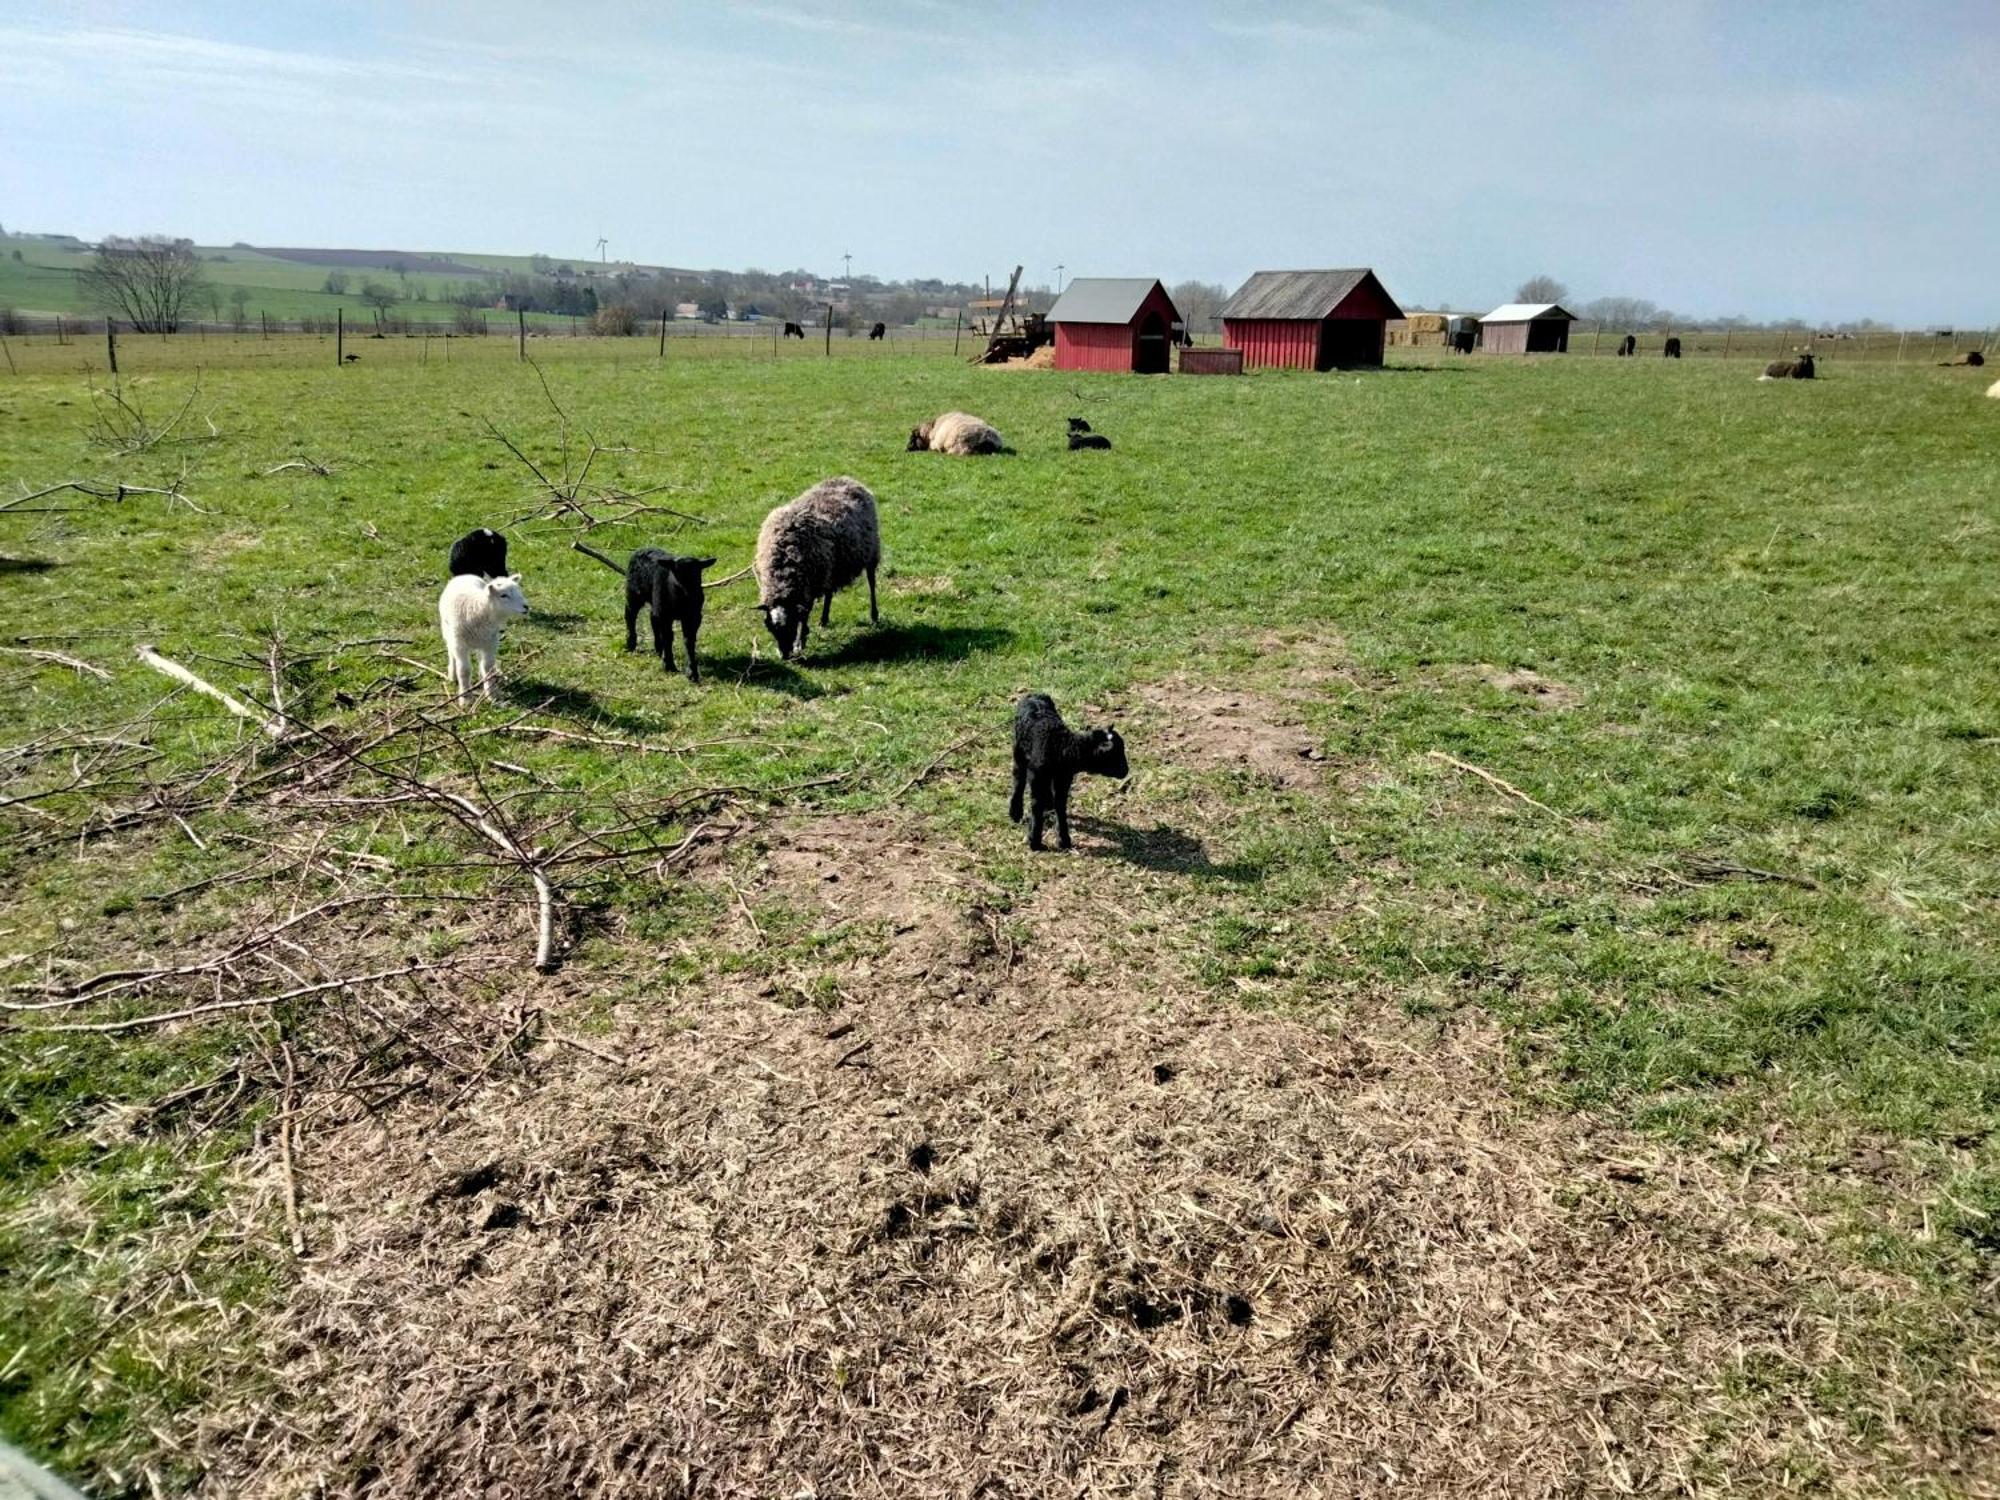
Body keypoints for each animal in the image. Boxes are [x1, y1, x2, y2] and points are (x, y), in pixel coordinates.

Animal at [440, 572, 532, 704]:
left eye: (519, 590)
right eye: (503, 595)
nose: (526, 607)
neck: (479, 610)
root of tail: (464, 575)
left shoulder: (490, 644)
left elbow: (488, 668)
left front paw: (492, 694)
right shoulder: (460, 645)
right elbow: (464, 670)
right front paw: (465, 698)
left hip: (483, 640)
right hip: (448, 631)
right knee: (451, 652)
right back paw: (452, 675)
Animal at [628, 548, 724, 684]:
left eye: (698, 572)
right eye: (676, 572)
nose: (692, 595)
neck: (681, 599)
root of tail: (643, 549)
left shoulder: (693, 617)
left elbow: (689, 640)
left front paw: (692, 671)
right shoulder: (665, 616)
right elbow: (668, 638)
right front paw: (669, 665)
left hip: (656, 603)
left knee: (653, 618)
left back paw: (658, 648)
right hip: (634, 592)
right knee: (630, 614)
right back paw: (630, 643)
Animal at [752, 472, 880, 656]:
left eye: (792, 625)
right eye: (771, 629)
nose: (785, 656)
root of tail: (848, 479)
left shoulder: (809, 588)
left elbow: (805, 616)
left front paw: (800, 641)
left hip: (871, 551)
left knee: (871, 582)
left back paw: (874, 615)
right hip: (831, 568)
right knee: (829, 592)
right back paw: (823, 620)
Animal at [1008, 696, 1136, 852]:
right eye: (1114, 756)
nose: (1126, 771)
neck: (1063, 747)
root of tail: (1033, 696)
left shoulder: (1064, 778)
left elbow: (1060, 805)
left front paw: (1064, 840)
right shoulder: (1037, 776)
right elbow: (1036, 806)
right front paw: (1035, 842)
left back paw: (1047, 804)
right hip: (1019, 749)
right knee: (1018, 778)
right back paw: (1015, 812)